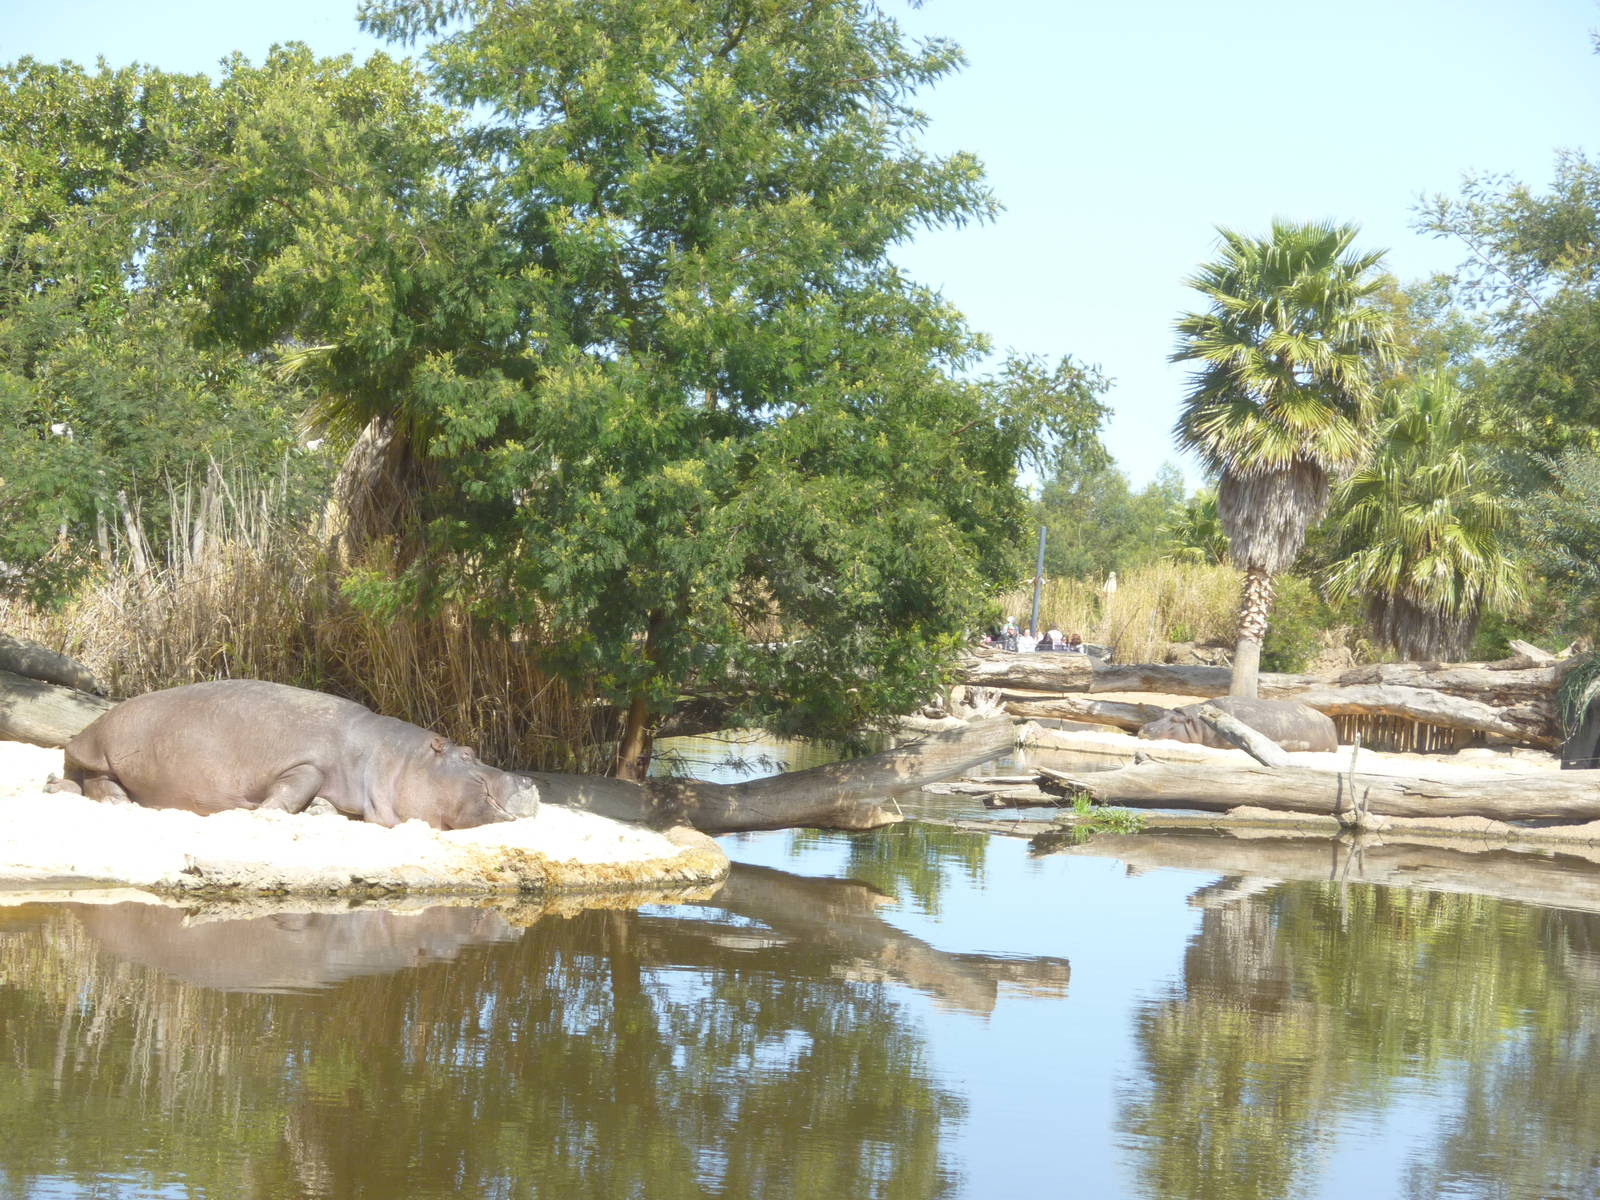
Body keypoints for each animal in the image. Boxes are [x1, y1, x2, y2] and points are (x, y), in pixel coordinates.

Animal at [45, 679, 539, 830]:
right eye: (469, 753)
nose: (530, 780)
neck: (394, 758)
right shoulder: (306, 763)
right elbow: (294, 786)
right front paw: (265, 814)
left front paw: (321, 812)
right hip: (103, 747)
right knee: (98, 779)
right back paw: (116, 802)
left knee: (76, 780)